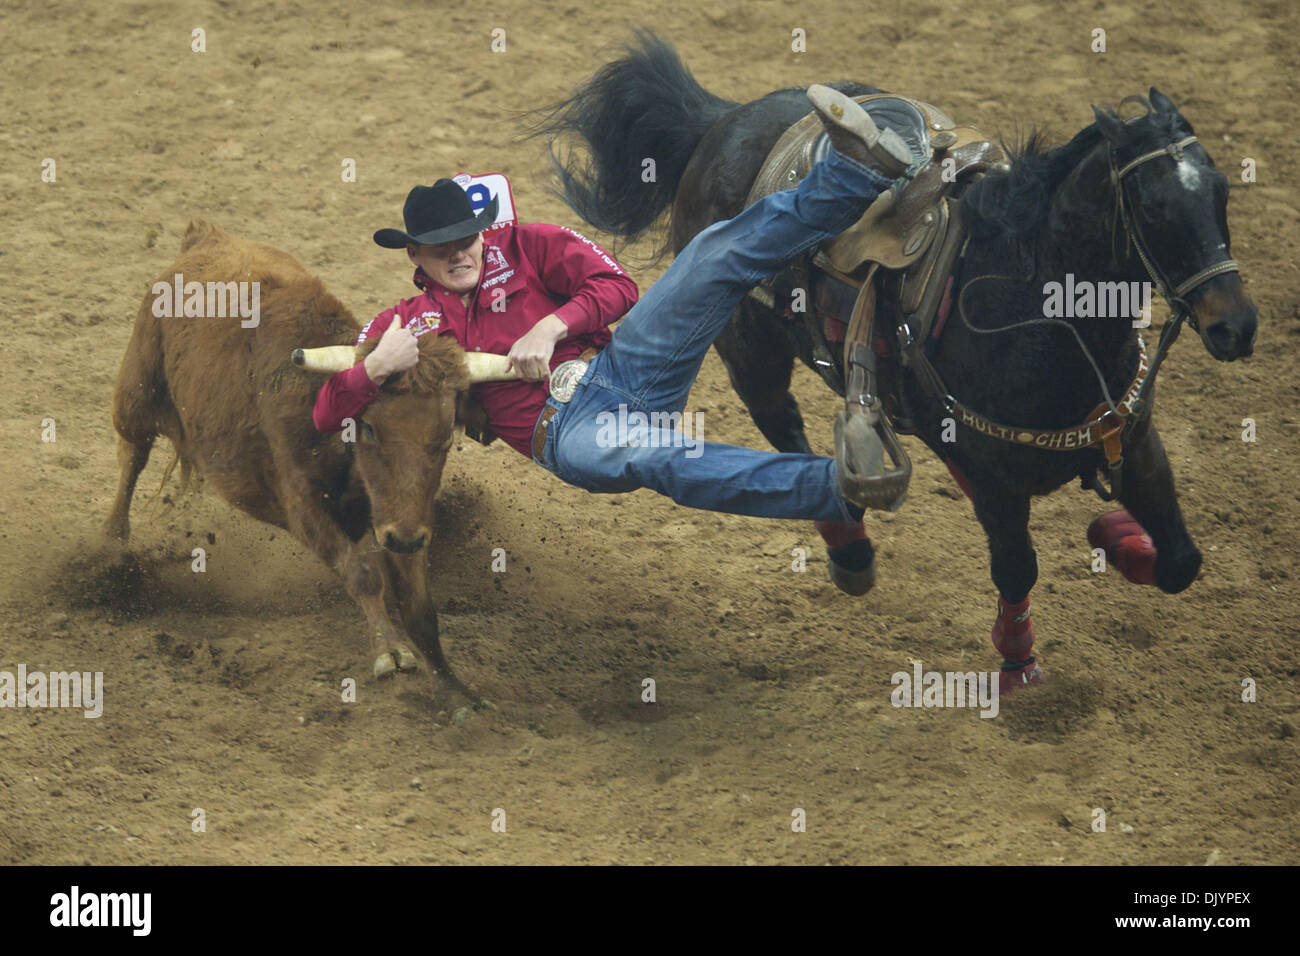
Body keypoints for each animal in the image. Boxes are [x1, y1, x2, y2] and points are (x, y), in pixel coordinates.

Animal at [533, 29, 1253, 686]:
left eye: (1222, 189)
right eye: (1155, 208)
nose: (1237, 325)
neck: (1034, 310)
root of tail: (722, 121)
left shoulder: (1131, 435)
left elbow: (1181, 559)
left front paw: (1118, 536)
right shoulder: (992, 475)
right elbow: (1016, 564)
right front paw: (1017, 657)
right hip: (746, 345)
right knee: (783, 426)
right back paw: (850, 550)